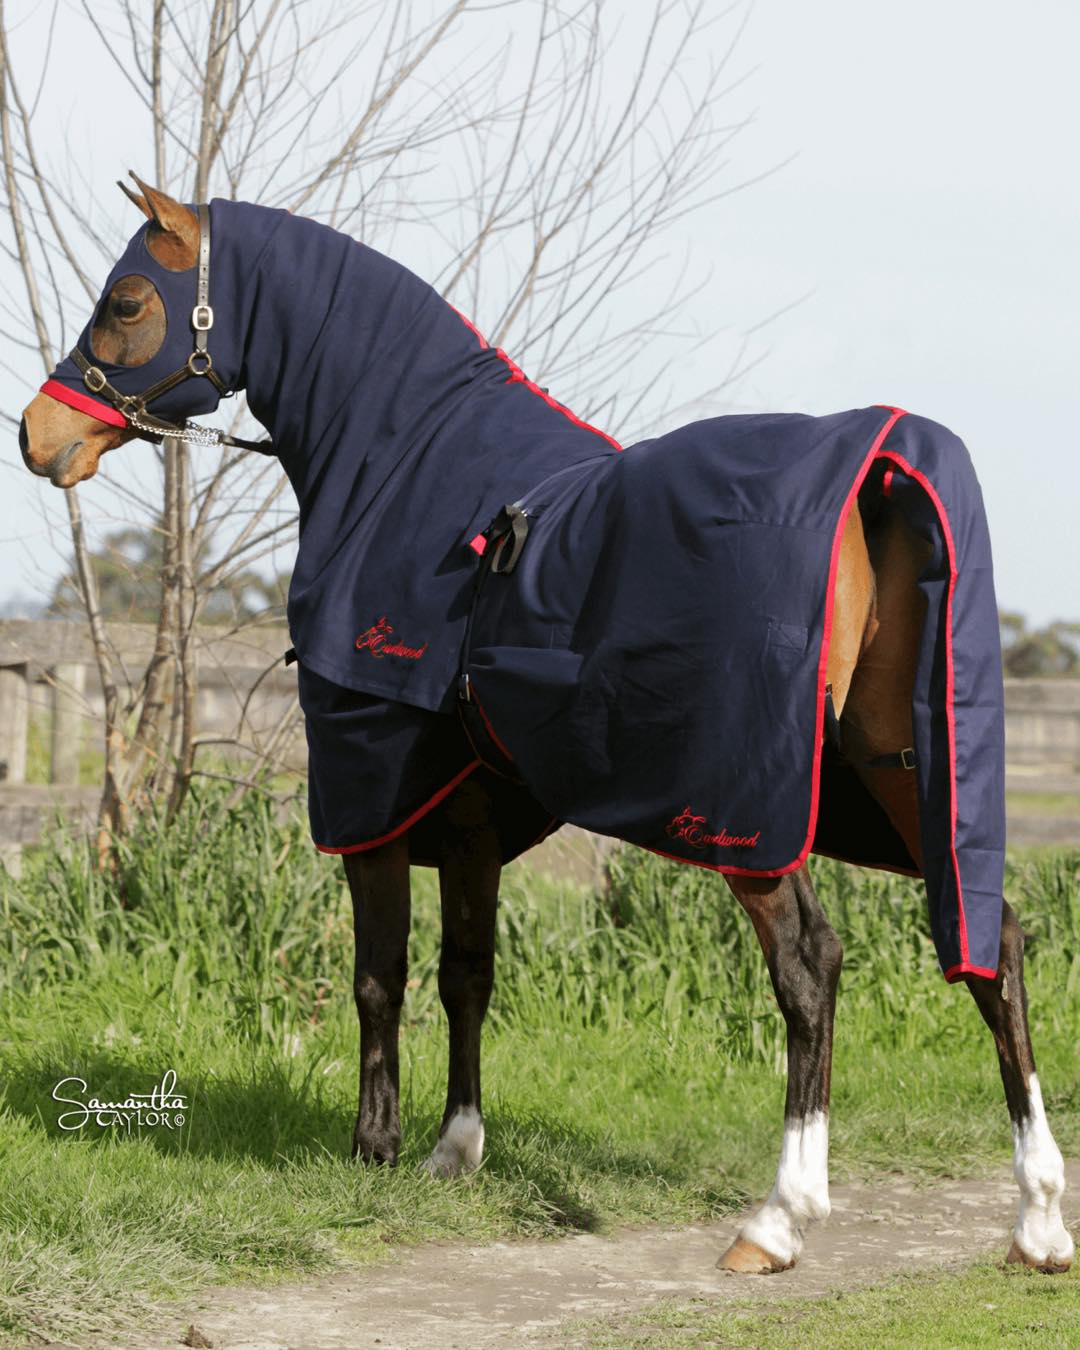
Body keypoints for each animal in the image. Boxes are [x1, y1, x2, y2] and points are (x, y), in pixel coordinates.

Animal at [19, 175, 1073, 1276]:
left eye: (128, 301)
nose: (38, 435)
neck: (412, 476)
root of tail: (875, 474)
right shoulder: (471, 820)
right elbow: (467, 975)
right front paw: (455, 1148)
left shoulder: (369, 798)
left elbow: (378, 977)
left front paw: (374, 1148)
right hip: (903, 770)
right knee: (995, 941)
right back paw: (1039, 1219)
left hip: (753, 813)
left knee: (810, 966)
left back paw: (780, 1218)